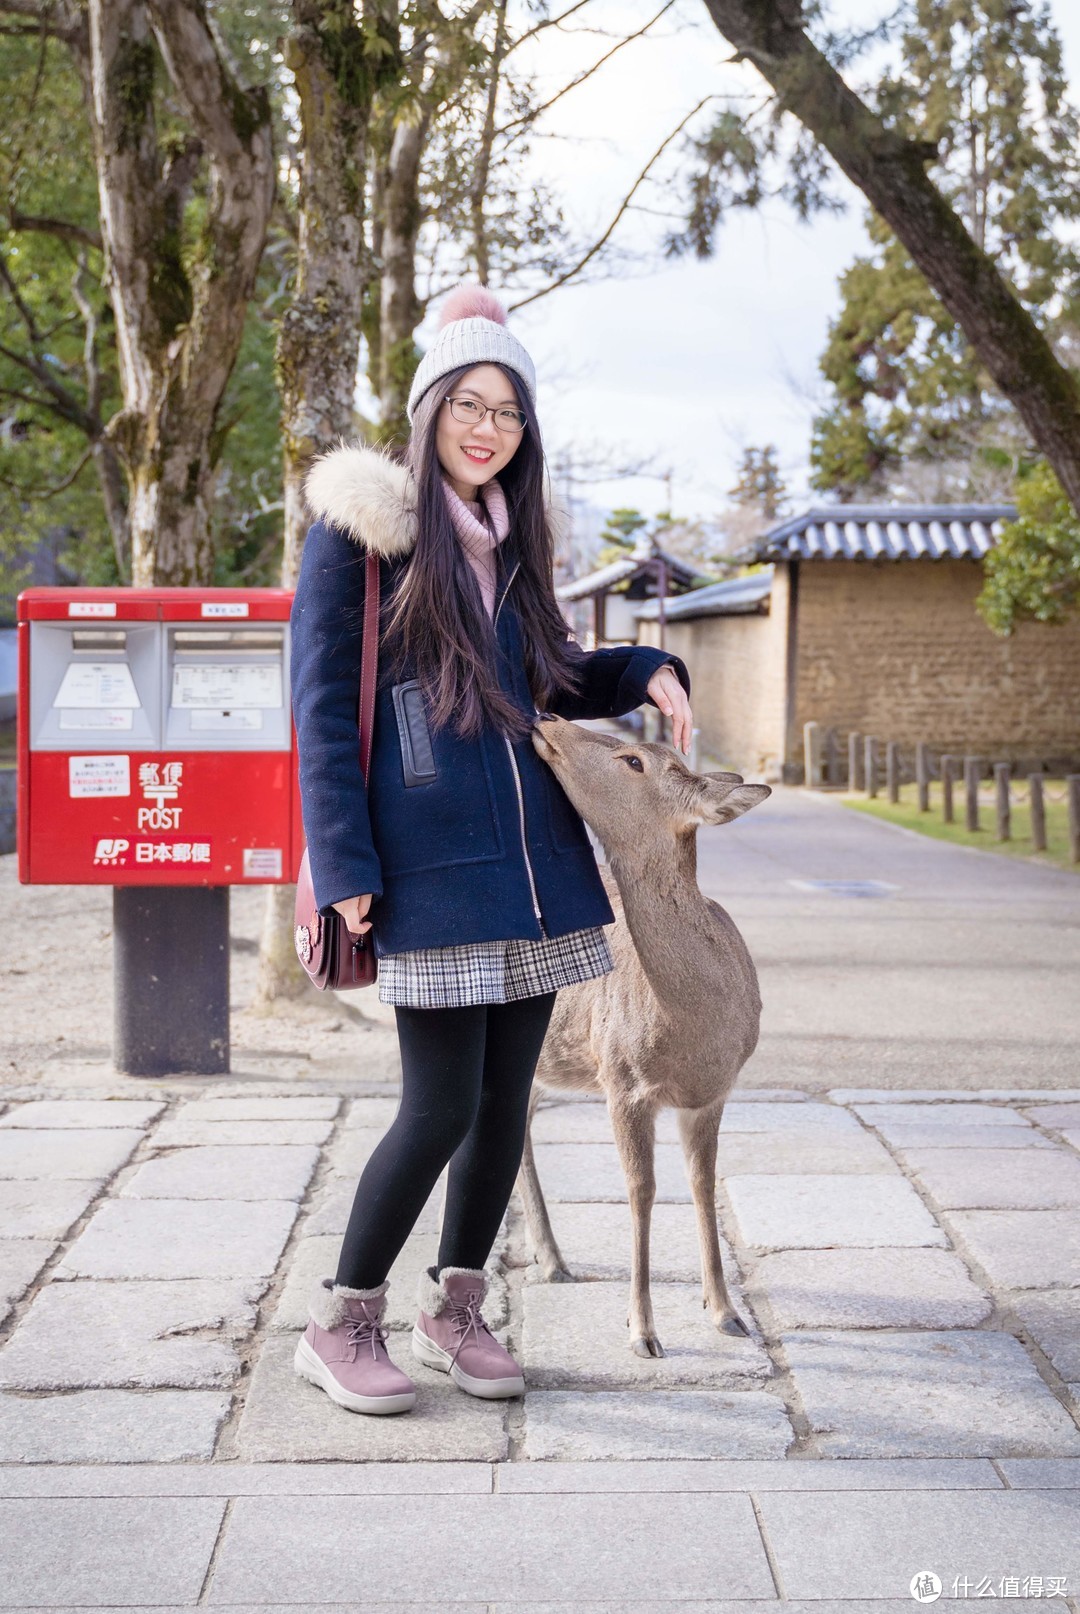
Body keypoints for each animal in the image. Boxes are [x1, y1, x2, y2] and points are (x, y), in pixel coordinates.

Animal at [516, 713, 771, 1355]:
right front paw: (642, 1330)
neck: (694, 1029)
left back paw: (552, 1258)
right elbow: (642, 1191)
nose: (548, 716)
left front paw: (725, 1311)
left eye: (633, 760)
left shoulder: (714, 1092)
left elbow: (703, 1185)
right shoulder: (622, 1080)